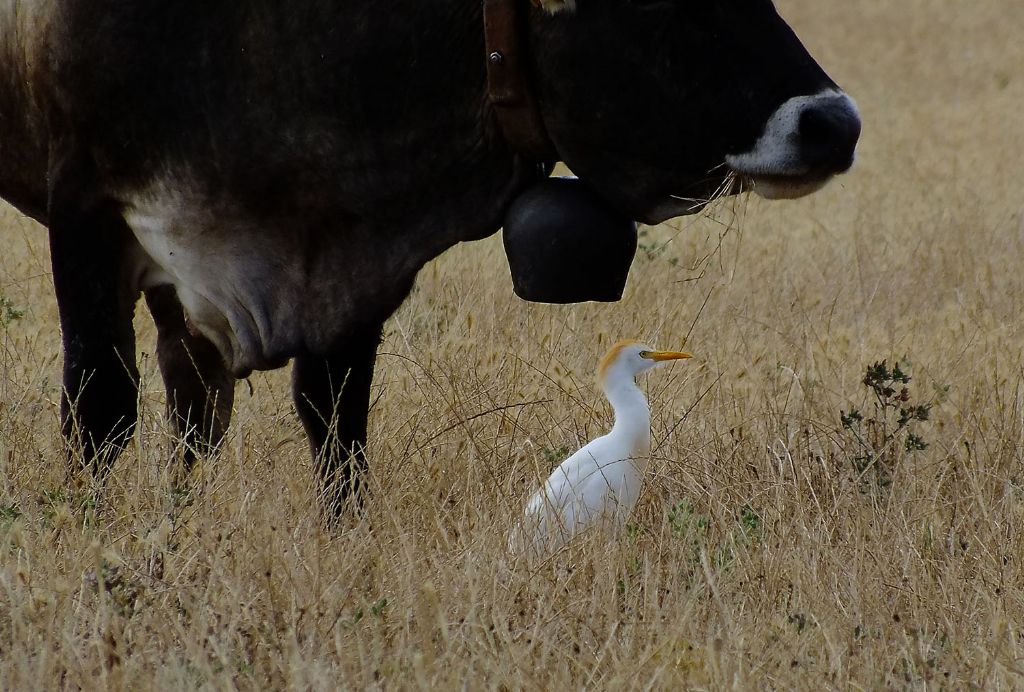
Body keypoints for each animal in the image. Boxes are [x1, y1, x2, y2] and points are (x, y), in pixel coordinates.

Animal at [0, 0, 860, 515]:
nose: (834, 123)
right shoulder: (87, 220)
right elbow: (101, 410)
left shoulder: (352, 269)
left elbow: (335, 425)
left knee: (193, 403)